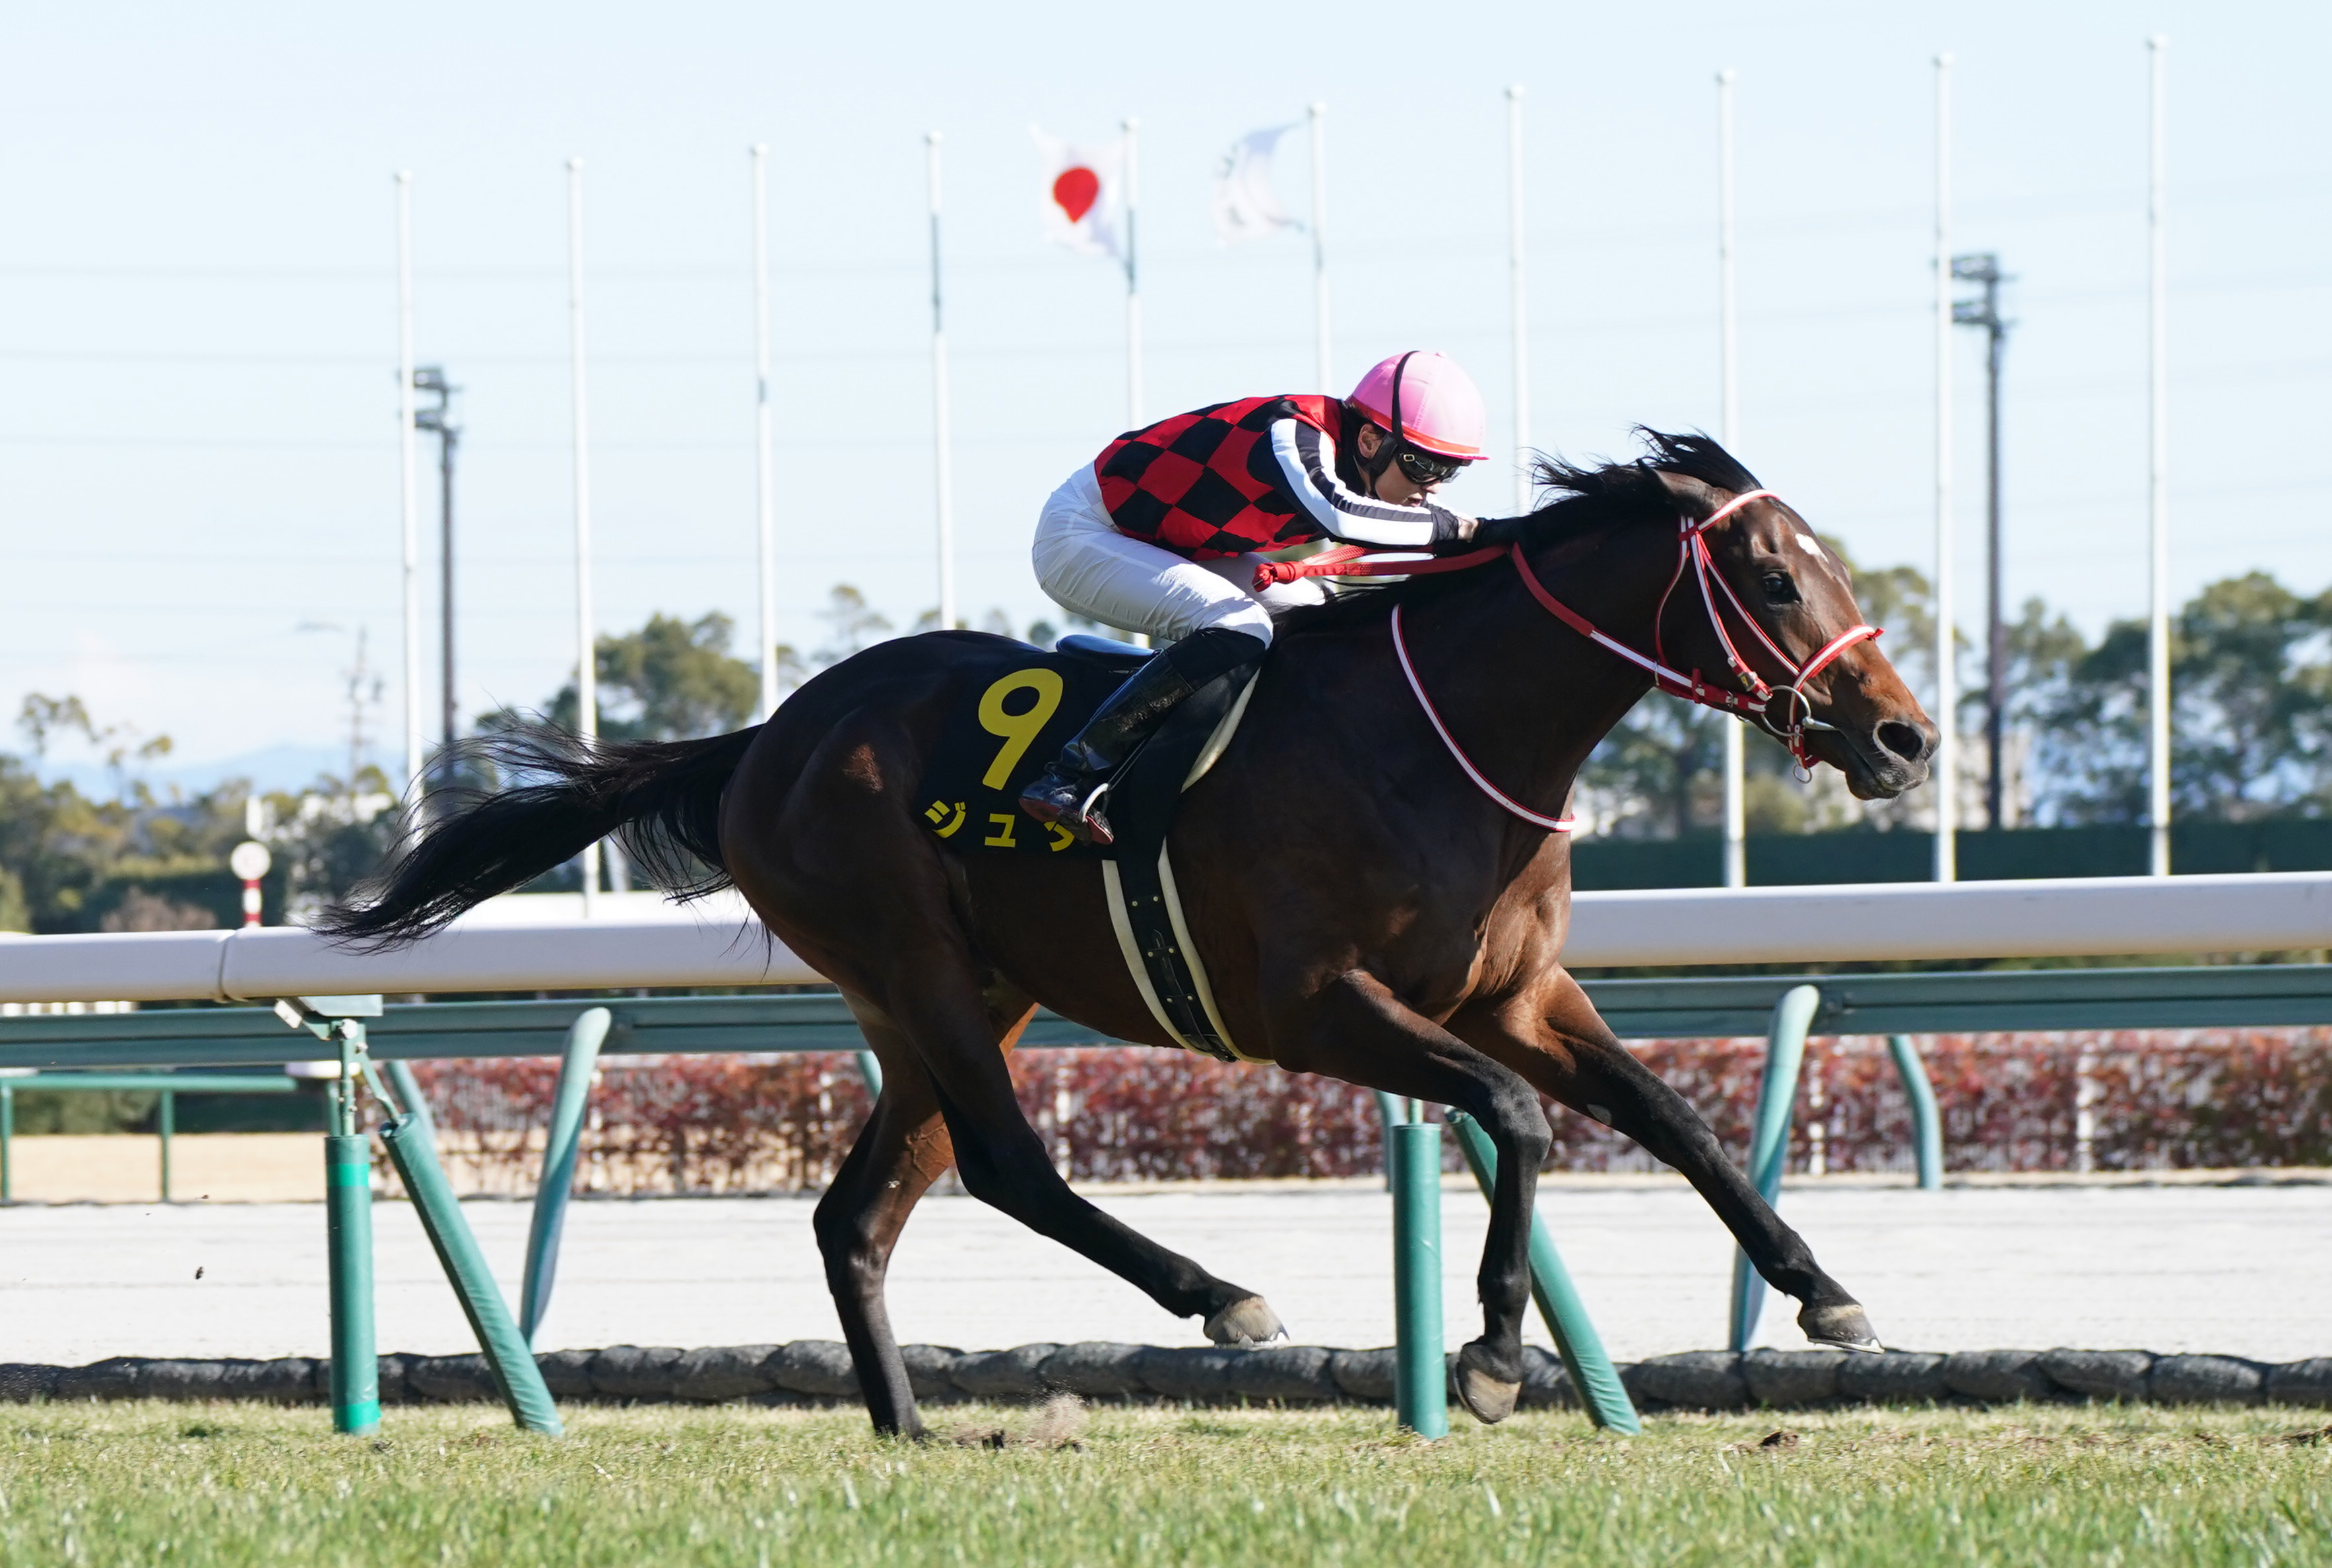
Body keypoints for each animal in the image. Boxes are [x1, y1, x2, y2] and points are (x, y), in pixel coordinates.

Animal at [327, 432, 1937, 1438]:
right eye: (1776, 579)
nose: (1904, 739)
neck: (1445, 737)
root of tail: (768, 739)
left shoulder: (1516, 994)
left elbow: (1672, 1117)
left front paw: (1826, 1295)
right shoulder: (1315, 1006)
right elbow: (1520, 1121)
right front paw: (1485, 1357)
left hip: (950, 994)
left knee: (860, 1214)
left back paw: (910, 1430)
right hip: (916, 965)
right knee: (1007, 1165)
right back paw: (1217, 1296)